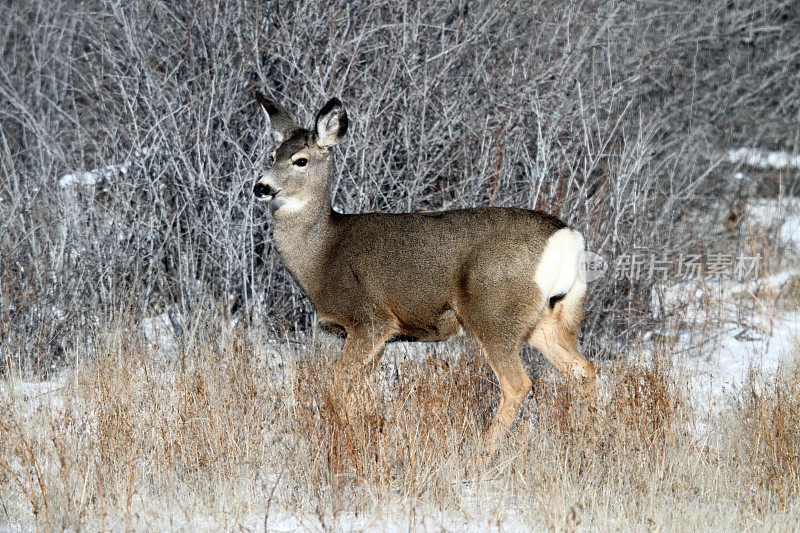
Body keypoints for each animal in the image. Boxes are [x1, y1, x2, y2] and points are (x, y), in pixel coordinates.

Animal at [253, 91, 596, 454]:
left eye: (300, 160)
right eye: (272, 155)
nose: (261, 187)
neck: (321, 254)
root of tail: (568, 238)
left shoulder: (369, 319)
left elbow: (337, 385)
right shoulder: (379, 336)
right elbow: (358, 390)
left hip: (494, 311)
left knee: (518, 383)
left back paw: (482, 453)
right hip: (549, 316)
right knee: (584, 370)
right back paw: (591, 438)